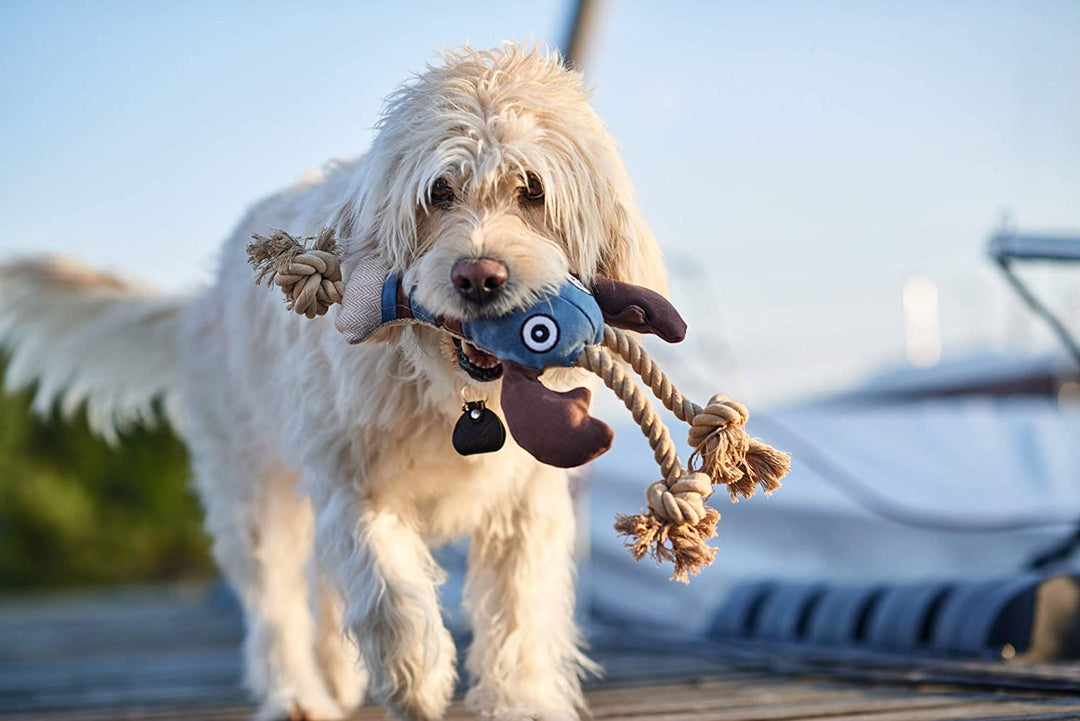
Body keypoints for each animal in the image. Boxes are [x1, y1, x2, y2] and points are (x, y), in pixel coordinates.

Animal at [0, 45, 665, 721]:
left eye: (531, 190)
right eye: (439, 191)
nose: (478, 277)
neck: (453, 391)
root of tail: (201, 303)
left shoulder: (525, 504)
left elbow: (519, 615)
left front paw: (520, 702)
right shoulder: (351, 479)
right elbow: (384, 585)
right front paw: (417, 677)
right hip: (253, 490)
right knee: (277, 601)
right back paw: (297, 693)